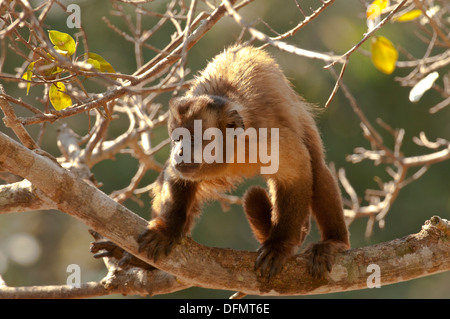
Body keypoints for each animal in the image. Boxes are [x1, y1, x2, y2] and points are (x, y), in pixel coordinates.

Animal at [139, 45, 350, 280]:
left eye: (194, 139)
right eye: (177, 138)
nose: (180, 152)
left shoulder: (265, 137)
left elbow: (297, 171)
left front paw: (279, 244)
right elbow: (176, 175)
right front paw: (167, 228)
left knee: (317, 168)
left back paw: (334, 242)